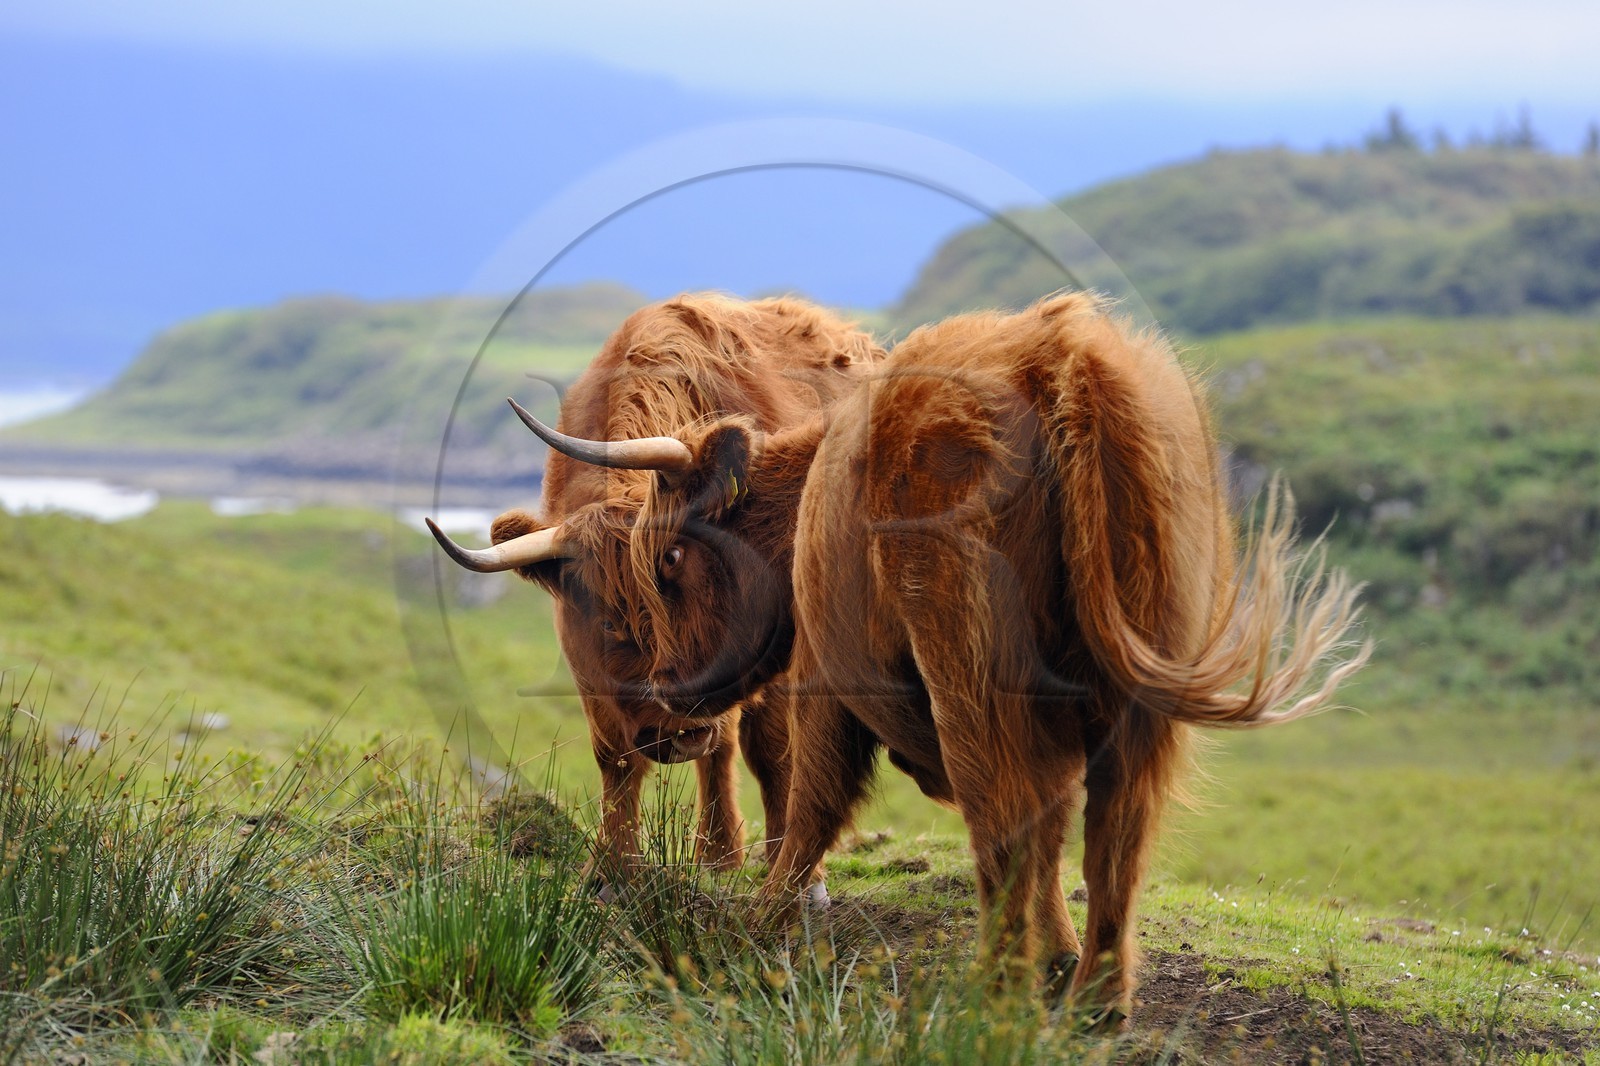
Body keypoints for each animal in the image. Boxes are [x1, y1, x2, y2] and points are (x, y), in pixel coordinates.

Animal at [425, 293, 883, 881]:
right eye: (608, 621)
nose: (675, 733)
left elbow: (770, 746)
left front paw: (764, 858)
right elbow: (616, 758)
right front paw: (615, 866)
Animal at [503, 291, 1368, 1024]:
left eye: (670, 560)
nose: (668, 699)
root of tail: (1059, 360)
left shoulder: (826, 673)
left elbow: (813, 797)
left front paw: (759, 924)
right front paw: (1054, 952)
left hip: (971, 674)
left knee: (1004, 813)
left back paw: (995, 989)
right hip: (1139, 693)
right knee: (1116, 831)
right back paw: (1093, 1001)